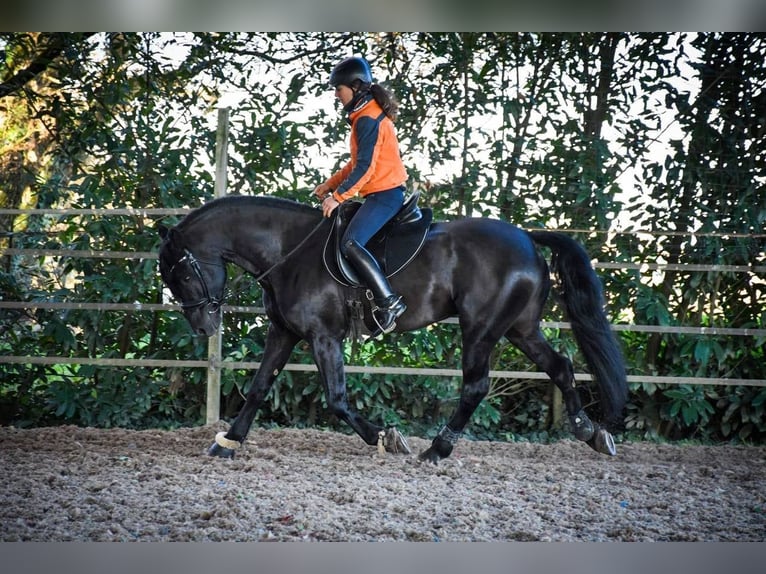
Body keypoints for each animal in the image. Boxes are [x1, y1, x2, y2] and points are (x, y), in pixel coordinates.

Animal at [158, 196, 632, 466]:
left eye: (179, 274)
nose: (203, 326)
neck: (288, 248)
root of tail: (529, 239)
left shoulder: (323, 336)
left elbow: (336, 400)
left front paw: (386, 437)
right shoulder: (284, 332)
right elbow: (258, 388)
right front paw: (227, 442)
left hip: (481, 328)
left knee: (476, 386)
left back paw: (435, 450)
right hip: (520, 328)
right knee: (561, 366)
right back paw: (590, 433)